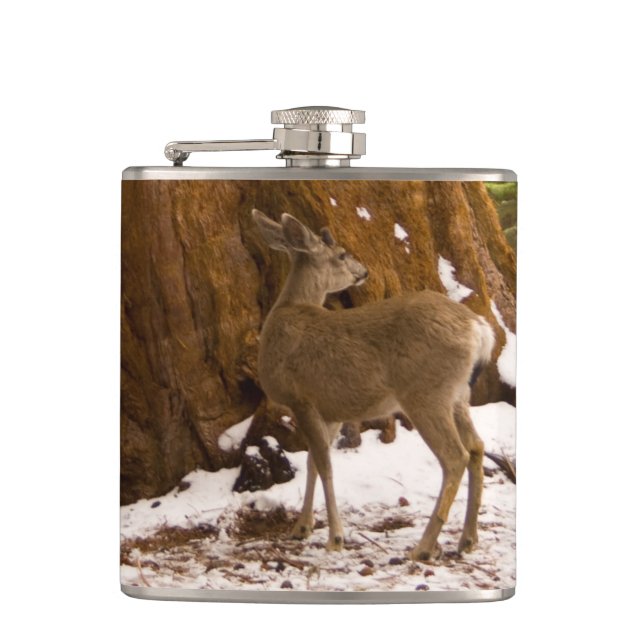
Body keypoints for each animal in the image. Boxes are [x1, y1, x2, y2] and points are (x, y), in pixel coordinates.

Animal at [252, 209, 495, 561]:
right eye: (342, 254)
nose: (363, 271)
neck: (287, 311)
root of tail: (479, 328)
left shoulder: (302, 398)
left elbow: (324, 465)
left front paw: (335, 537)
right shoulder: (329, 408)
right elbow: (313, 462)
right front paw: (302, 527)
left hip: (426, 393)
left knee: (454, 456)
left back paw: (423, 547)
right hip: (458, 394)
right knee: (476, 447)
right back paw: (467, 539)